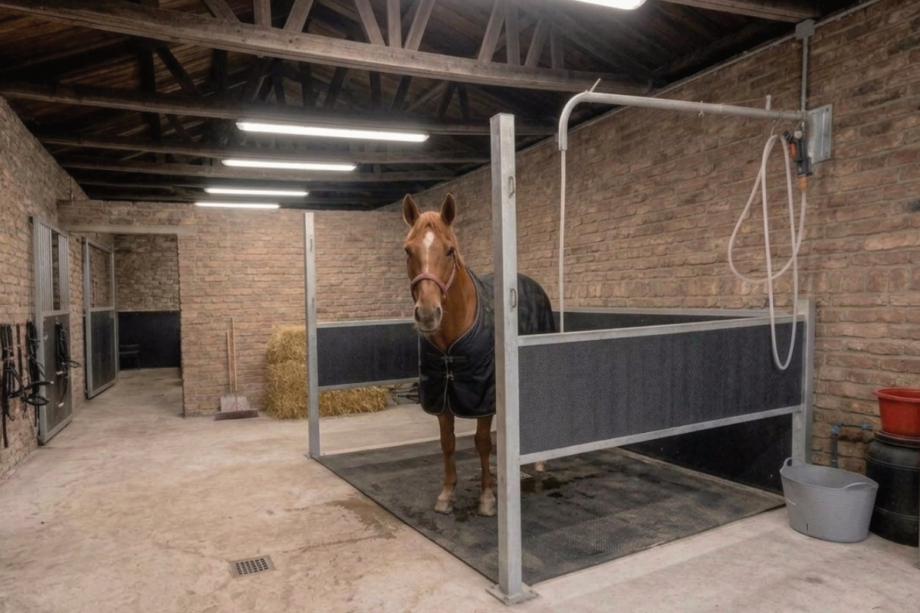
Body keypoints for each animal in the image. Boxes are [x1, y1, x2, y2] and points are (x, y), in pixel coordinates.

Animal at [402, 193, 556, 516]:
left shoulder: (483, 397)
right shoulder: (443, 397)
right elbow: (447, 442)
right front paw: (447, 494)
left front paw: (487, 498)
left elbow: (482, 442)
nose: (427, 314)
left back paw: (539, 462)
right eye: (408, 250)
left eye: (450, 250)